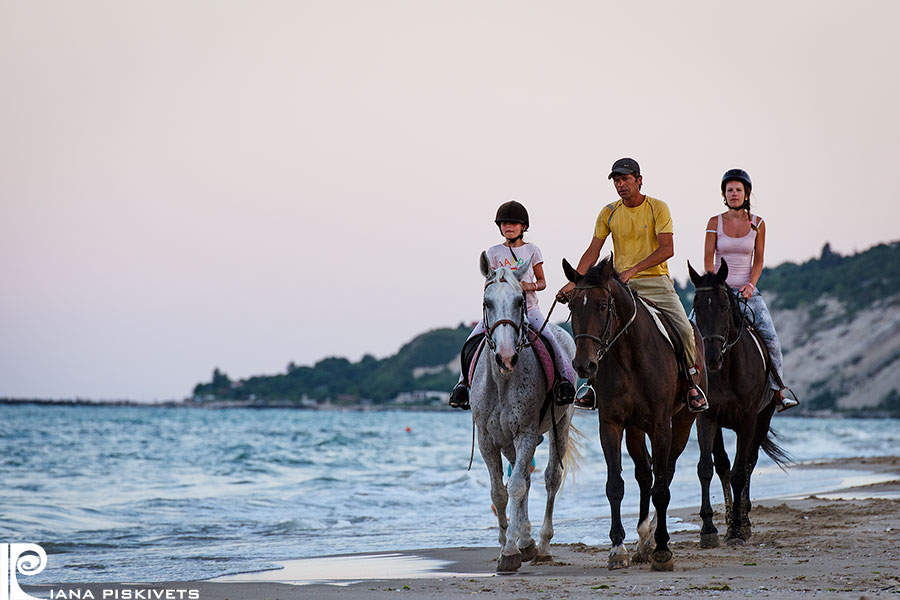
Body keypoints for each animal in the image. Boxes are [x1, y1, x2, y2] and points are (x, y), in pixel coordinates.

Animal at [472, 251, 576, 576]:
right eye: (487, 302)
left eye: (520, 301)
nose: (506, 357)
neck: (503, 381)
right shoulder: (487, 440)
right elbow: (499, 492)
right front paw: (508, 542)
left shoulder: (526, 433)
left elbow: (516, 487)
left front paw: (509, 552)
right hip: (507, 443)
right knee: (526, 479)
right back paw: (526, 540)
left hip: (560, 425)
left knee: (550, 478)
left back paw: (540, 545)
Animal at [564, 258, 704, 572]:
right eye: (572, 306)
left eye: (603, 305)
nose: (584, 365)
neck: (628, 354)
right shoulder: (611, 424)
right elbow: (615, 484)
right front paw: (618, 548)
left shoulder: (661, 426)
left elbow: (661, 488)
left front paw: (663, 550)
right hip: (636, 429)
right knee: (644, 473)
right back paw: (642, 540)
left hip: (683, 422)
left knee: (665, 473)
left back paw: (652, 539)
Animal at [688, 260, 788, 548]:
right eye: (697, 306)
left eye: (723, 305)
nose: (710, 358)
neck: (726, 370)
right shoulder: (707, 417)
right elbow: (708, 468)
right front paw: (709, 529)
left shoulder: (747, 420)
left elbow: (740, 472)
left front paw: (736, 529)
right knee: (724, 466)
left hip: (763, 419)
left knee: (749, 463)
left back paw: (744, 519)